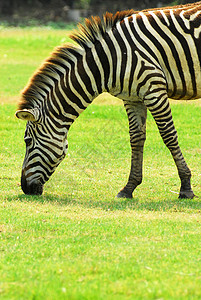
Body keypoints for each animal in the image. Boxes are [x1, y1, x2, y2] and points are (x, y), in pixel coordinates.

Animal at [14, 2, 200, 199]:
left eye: (27, 141)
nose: (25, 188)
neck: (108, 61)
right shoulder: (133, 98)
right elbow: (136, 138)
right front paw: (129, 188)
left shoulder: (154, 89)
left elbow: (168, 135)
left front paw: (186, 186)